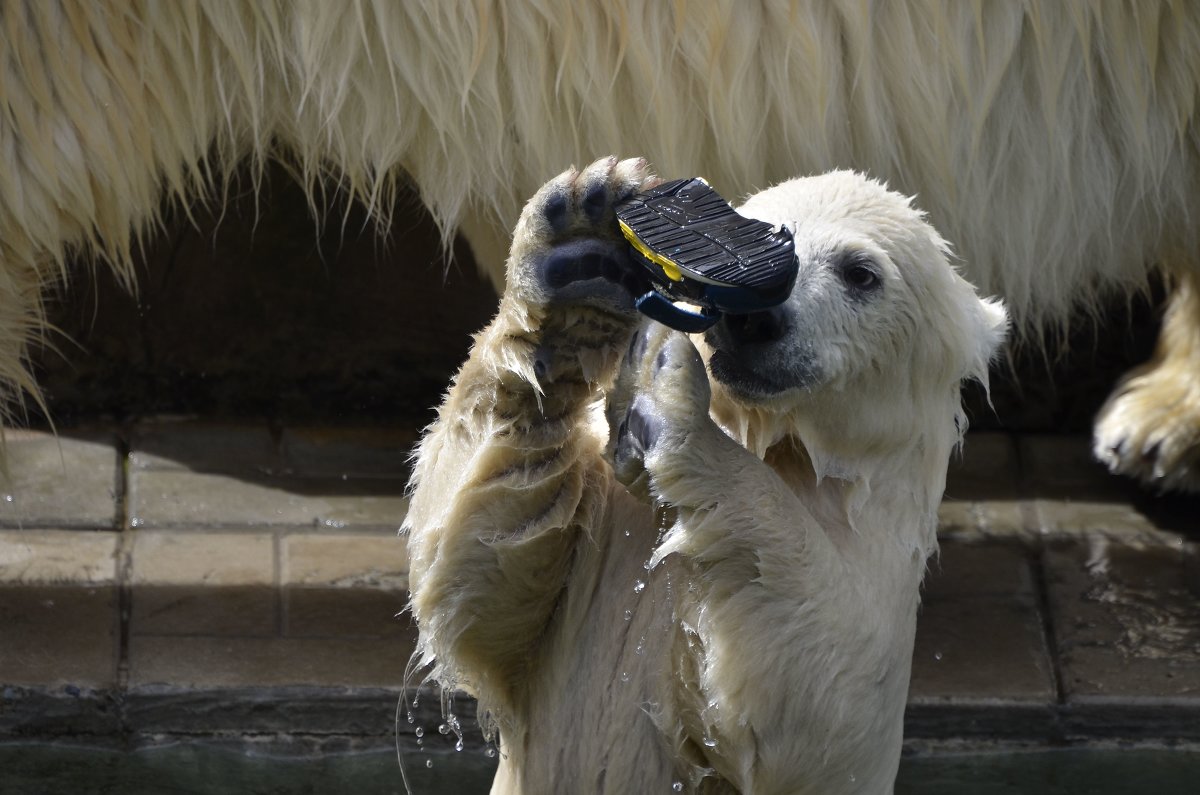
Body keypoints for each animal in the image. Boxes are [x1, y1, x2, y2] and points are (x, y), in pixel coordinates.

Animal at [408, 158, 1008, 792]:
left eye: (861, 272)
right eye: (766, 228)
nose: (760, 319)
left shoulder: (882, 563)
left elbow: (822, 702)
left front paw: (664, 392)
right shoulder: (596, 536)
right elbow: (481, 572)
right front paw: (575, 252)